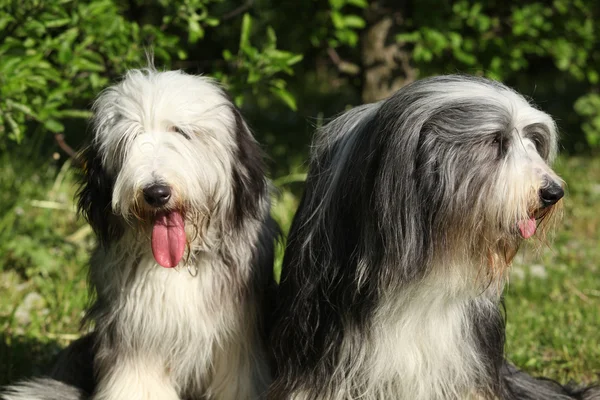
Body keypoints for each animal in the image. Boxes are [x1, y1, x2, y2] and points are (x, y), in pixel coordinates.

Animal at [2, 69, 276, 400]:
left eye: (181, 132)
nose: (156, 193)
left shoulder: (237, 338)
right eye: (130, 138)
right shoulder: (136, 333)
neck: (181, 264)